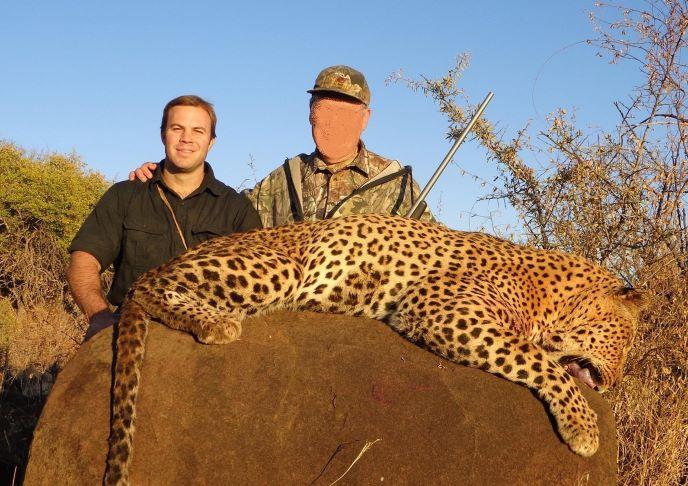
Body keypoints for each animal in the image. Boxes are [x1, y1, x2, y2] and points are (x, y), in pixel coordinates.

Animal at [103, 213, 645, 485]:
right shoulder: (443, 308)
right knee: (146, 288)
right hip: (275, 267)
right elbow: (540, 362)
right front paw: (583, 428)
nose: (614, 384)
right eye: (622, 342)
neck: (550, 295)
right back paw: (215, 322)